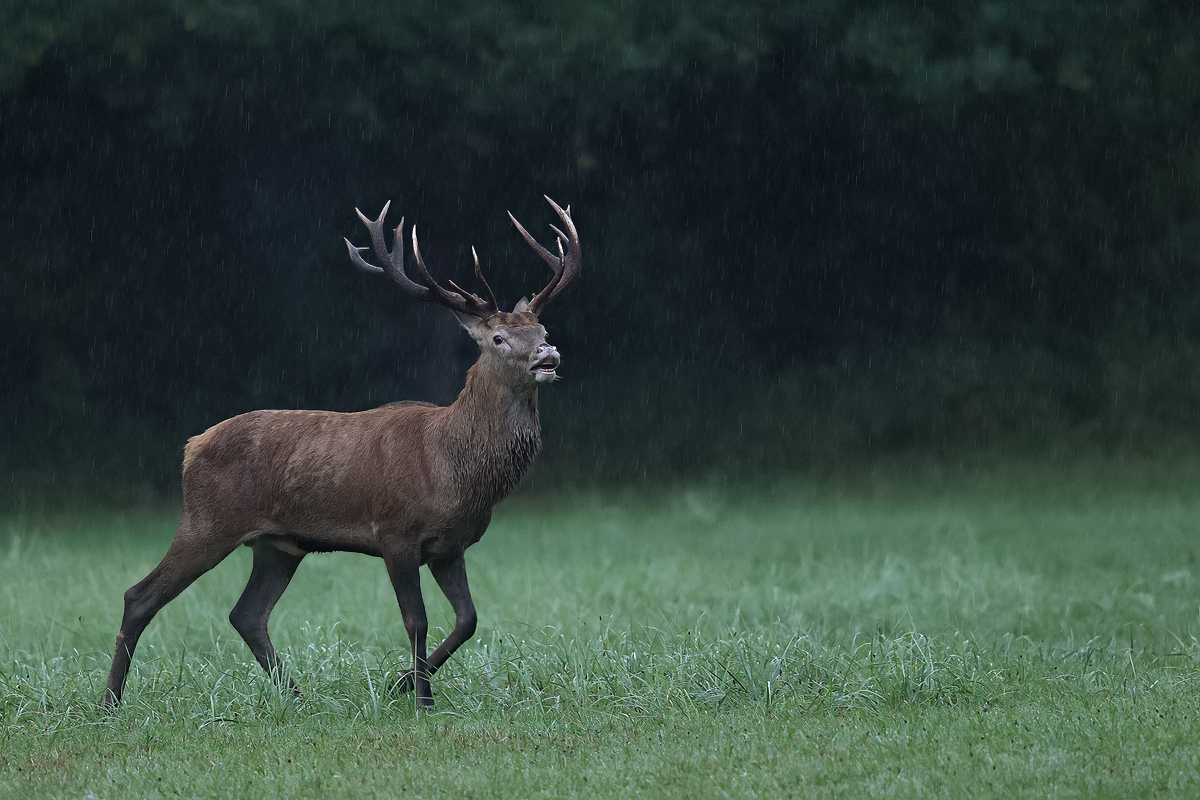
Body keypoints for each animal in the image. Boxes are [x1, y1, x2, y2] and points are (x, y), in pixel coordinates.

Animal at [105, 196, 583, 710]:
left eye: (542, 327)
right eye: (498, 338)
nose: (548, 353)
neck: (455, 470)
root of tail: (191, 447)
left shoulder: (450, 546)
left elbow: (468, 620)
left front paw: (401, 683)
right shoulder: (395, 531)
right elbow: (417, 619)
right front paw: (421, 700)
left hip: (278, 545)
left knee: (246, 614)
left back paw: (296, 696)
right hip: (207, 521)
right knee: (140, 596)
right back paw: (110, 702)